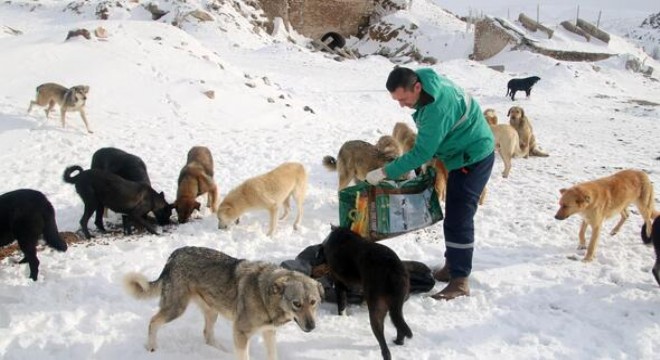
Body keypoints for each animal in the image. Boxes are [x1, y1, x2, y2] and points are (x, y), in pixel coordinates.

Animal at [122, 246, 324, 358]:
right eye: (297, 304)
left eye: (313, 302)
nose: (312, 327)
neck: (264, 296)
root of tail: (173, 256)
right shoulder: (240, 333)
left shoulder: (268, 332)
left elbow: (272, 355)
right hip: (176, 308)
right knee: (153, 321)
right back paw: (152, 347)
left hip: (212, 311)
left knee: (207, 334)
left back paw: (221, 352)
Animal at [320, 225, 412, 360]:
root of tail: (393, 269)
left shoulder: (338, 281)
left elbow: (341, 303)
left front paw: (341, 316)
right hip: (398, 303)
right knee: (399, 324)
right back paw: (398, 342)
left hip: (377, 307)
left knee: (382, 339)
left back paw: (386, 353)